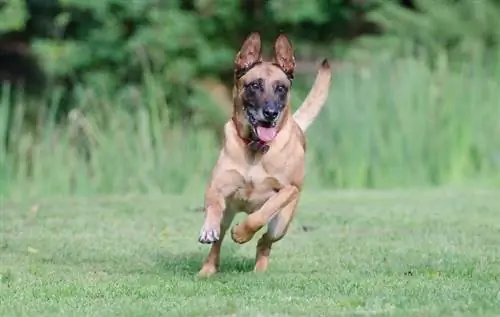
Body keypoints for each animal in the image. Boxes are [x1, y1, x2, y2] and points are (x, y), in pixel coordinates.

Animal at [196, 30, 332, 276]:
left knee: (264, 241)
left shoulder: (288, 190)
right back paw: (207, 269)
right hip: (229, 213)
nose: (270, 113)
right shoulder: (218, 185)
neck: (256, 148)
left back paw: (259, 269)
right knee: (218, 242)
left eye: (281, 88)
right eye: (255, 85)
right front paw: (208, 229)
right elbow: (213, 205)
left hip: (281, 224)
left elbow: (261, 214)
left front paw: (241, 233)